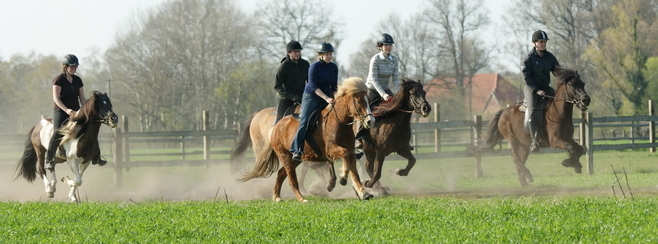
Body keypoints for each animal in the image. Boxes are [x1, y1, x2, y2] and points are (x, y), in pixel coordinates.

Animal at [240, 76, 374, 202]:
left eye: (368, 100)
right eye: (359, 101)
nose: (370, 121)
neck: (338, 122)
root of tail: (276, 126)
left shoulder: (350, 150)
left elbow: (354, 170)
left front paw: (363, 192)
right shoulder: (330, 150)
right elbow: (344, 156)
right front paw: (342, 177)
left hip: (295, 159)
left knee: (281, 173)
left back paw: (277, 196)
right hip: (284, 156)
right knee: (291, 179)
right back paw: (301, 198)